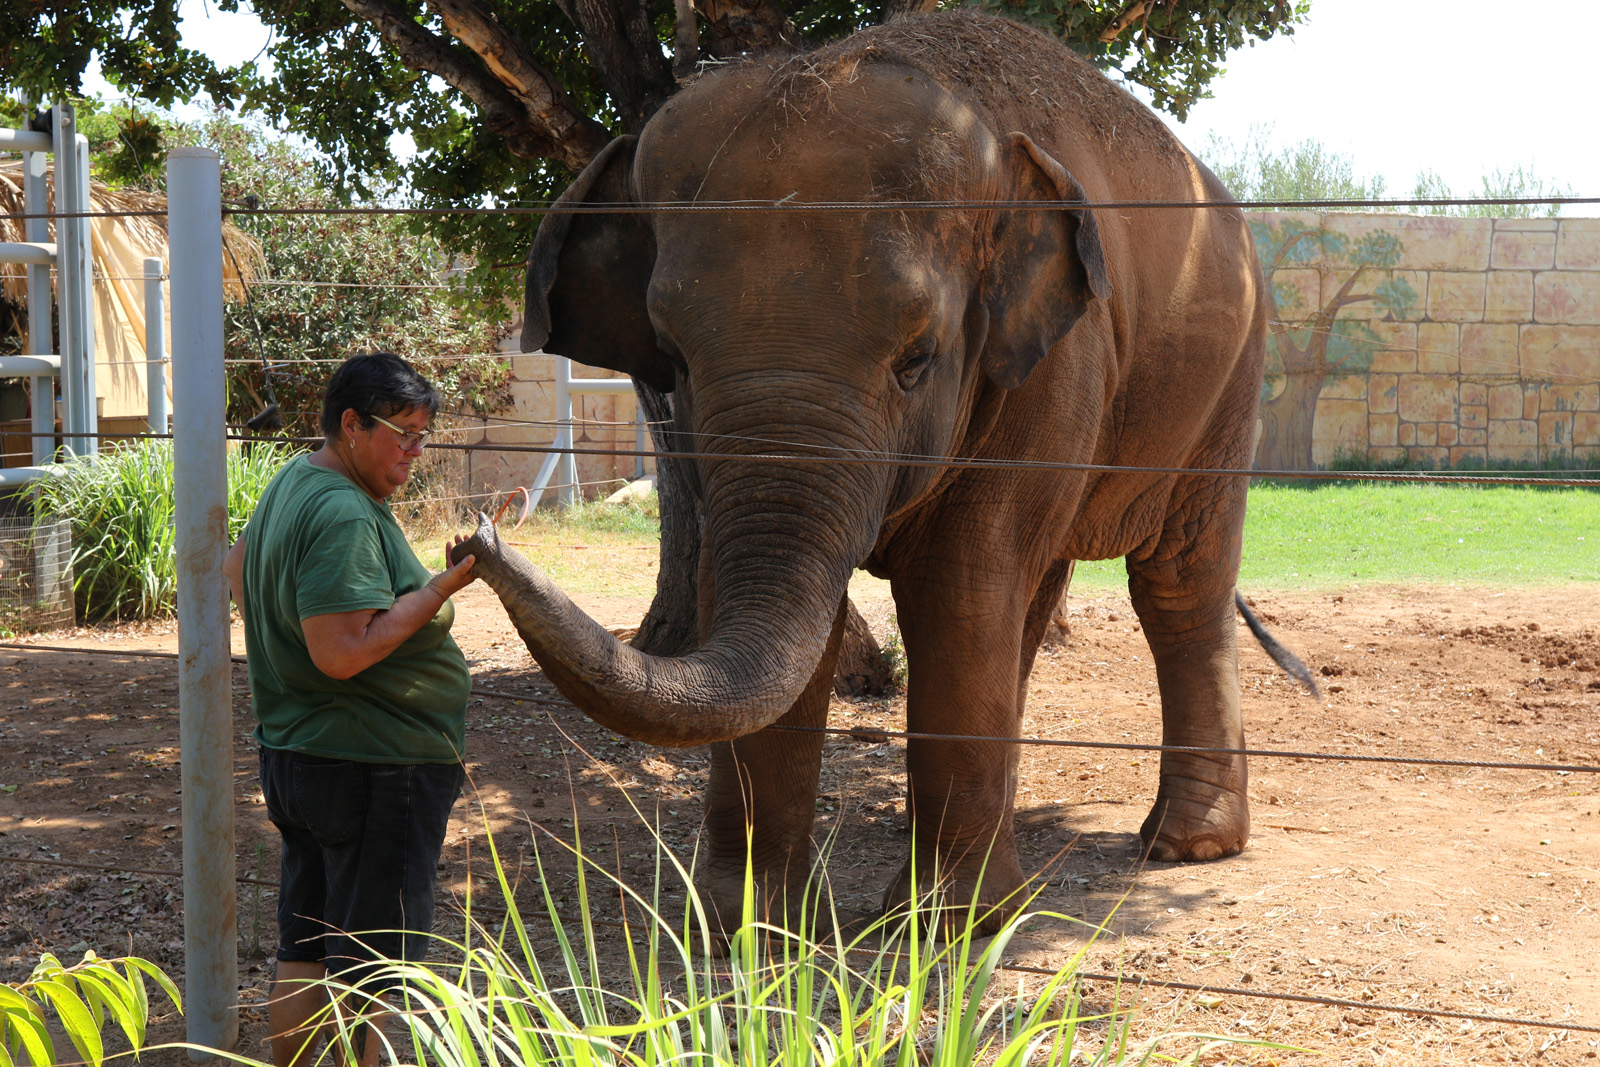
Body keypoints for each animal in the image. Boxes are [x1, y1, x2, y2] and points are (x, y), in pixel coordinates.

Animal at [456, 9, 1299, 930]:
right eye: (671, 359)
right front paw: (747, 926)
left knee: (1177, 585)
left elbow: (961, 582)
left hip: (1229, 380)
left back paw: (1184, 843)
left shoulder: (1055, 362)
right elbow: (755, 597)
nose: (474, 538)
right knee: (1037, 597)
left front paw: (952, 926)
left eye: (916, 360)